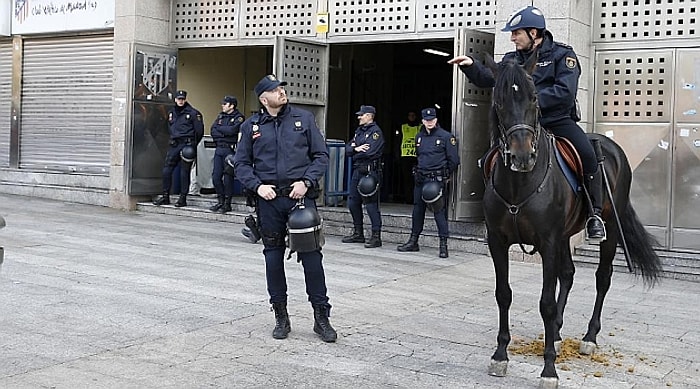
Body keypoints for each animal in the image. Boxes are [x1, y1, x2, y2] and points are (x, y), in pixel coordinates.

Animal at [482, 53, 660, 386]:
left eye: (535, 98)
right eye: (499, 101)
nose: (522, 156)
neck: (519, 183)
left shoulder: (549, 242)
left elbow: (546, 303)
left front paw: (549, 369)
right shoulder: (498, 241)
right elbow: (503, 294)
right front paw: (500, 355)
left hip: (608, 229)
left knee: (602, 278)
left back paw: (589, 338)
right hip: (565, 235)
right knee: (568, 274)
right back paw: (557, 333)